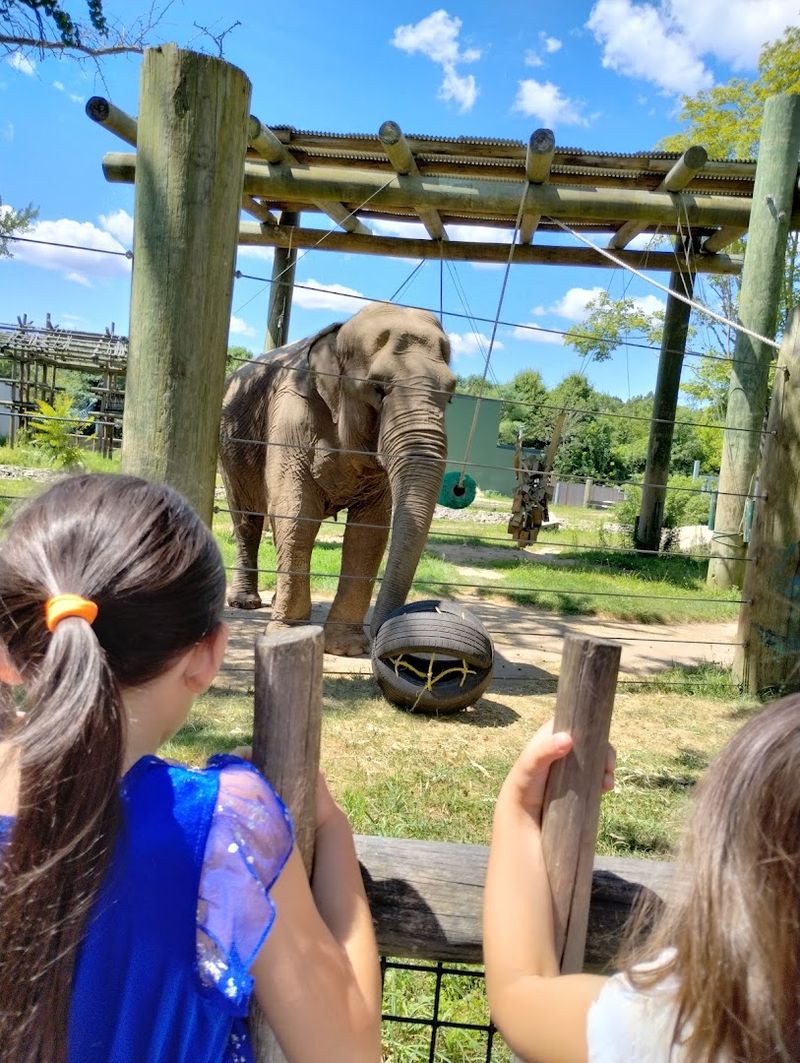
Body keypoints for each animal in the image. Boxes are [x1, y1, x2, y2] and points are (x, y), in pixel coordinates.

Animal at [218, 302, 456, 656]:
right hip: (230, 449)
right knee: (248, 520)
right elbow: (296, 513)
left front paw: (346, 649)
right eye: (377, 388)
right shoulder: (291, 414)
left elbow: (369, 532)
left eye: (451, 395)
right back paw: (246, 603)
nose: (382, 651)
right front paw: (288, 635)